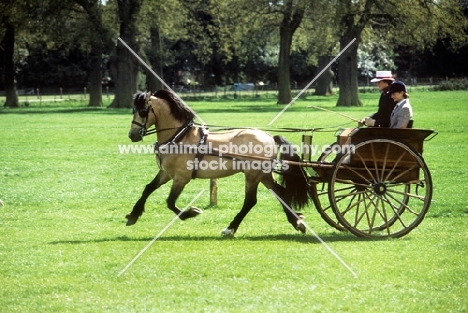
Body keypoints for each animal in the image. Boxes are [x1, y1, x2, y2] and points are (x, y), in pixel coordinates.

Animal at [126, 89, 308, 235]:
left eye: (143, 111)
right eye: (133, 110)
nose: (133, 135)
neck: (179, 137)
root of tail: (270, 136)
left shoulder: (181, 178)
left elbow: (170, 202)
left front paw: (191, 212)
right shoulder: (166, 173)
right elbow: (148, 189)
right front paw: (133, 215)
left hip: (253, 174)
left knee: (250, 201)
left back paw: (230, 228)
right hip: (263, 174)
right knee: (280, 192)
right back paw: (297, 222)